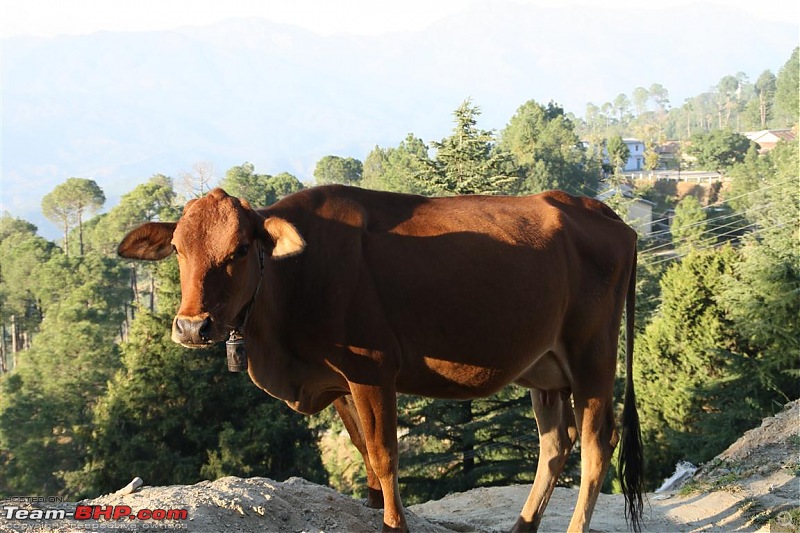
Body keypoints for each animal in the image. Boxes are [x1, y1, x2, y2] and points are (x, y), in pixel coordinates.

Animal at [117, 185, 644, 528]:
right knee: (555, 444)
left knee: (597, 446)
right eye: (178, 249)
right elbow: (364, 450)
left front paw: (394, 520)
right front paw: (373, 505)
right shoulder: (337, 380)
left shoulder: (371, 369)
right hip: (545, 369)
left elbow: (386, 456)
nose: (192, 327)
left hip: (592, 357)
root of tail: (597, 209)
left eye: (241, 248)